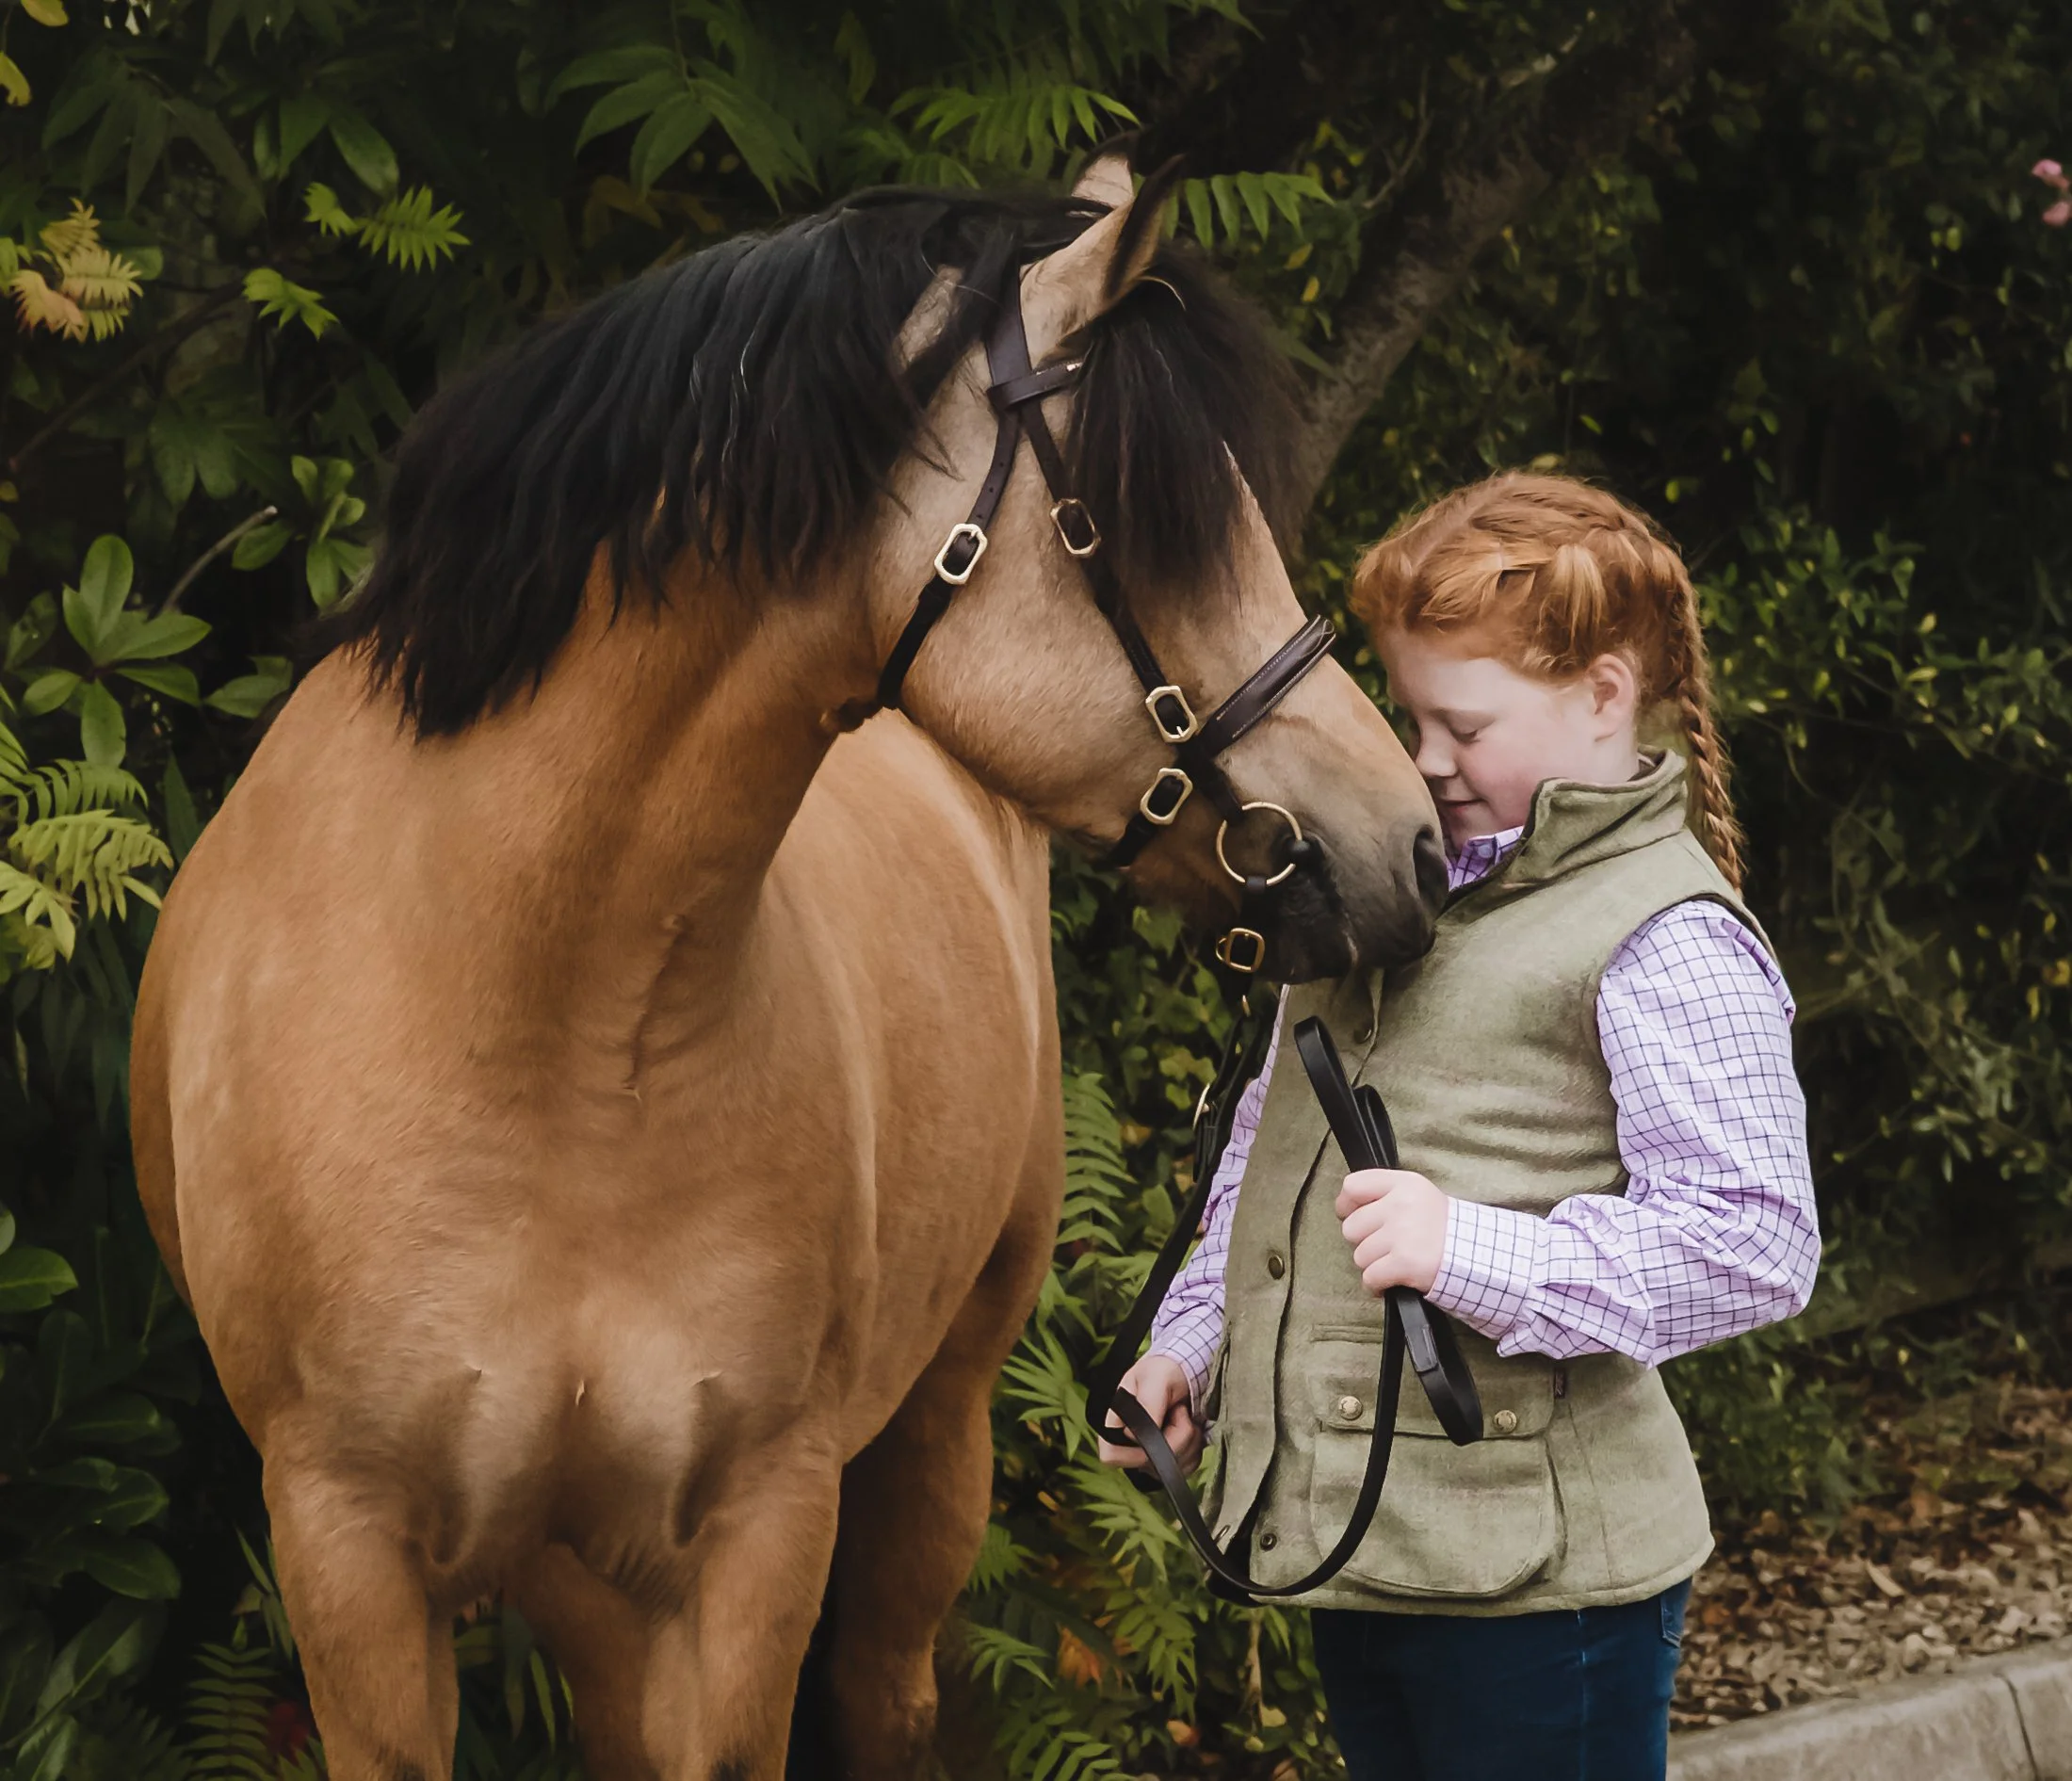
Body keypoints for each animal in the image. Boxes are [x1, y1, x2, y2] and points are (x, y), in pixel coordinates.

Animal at [130, 157, 1444, 1781]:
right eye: (1147, 527)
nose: (1408, 848)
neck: (538, 1023)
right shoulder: (348, 1559)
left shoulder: (756, 1536)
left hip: (929, 1438)